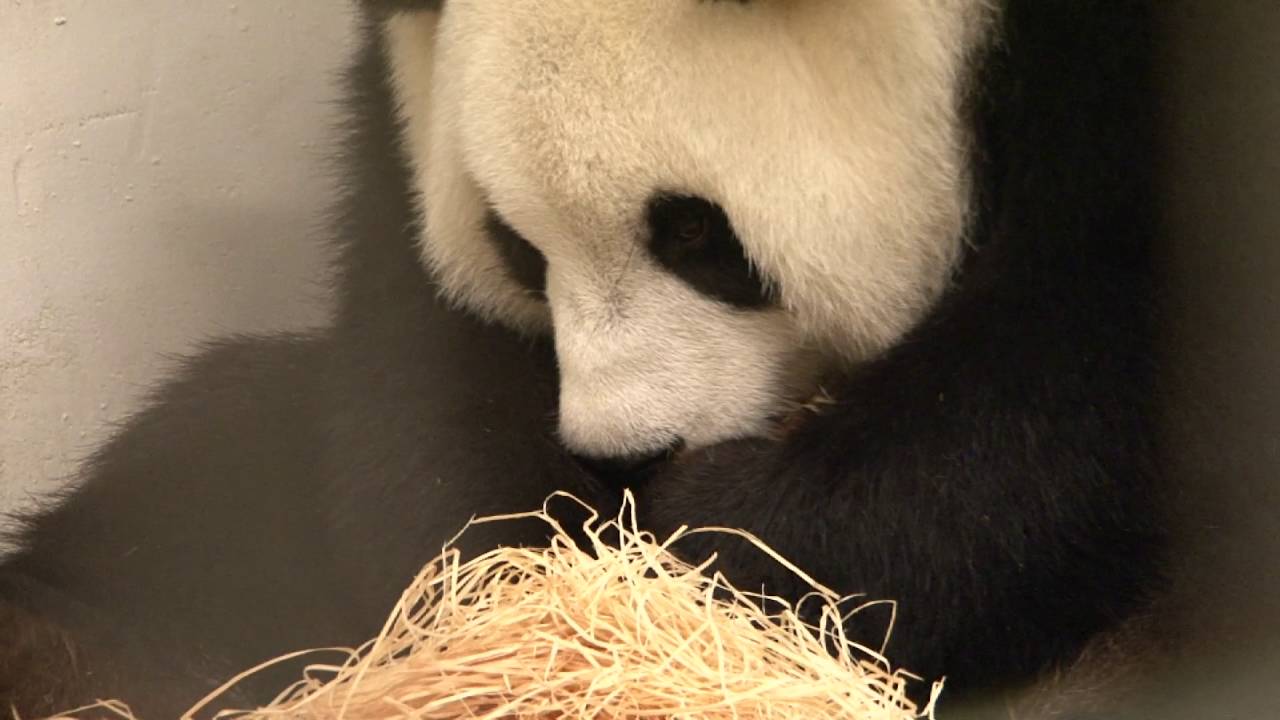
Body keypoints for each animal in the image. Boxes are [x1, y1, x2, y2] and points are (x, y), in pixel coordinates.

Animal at [0, 1, 1164, 718]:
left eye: (695, 233)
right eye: (517, 246)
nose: (624, 454)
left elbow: (1063, 392)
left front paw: (724, 545)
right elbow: (417, 353)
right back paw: (60, 652)